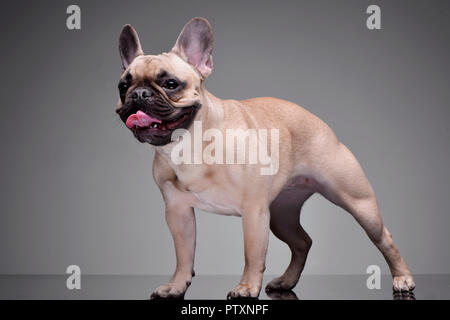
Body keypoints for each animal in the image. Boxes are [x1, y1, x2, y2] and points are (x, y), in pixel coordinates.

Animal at [116, 16, 414, 298]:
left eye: (170, 84)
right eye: (123, 86)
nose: (139, 93)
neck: (189, 144)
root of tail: (318, 120)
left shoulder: (254, 211)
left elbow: (252, 254)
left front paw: (246, 287)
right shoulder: (178, 214)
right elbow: (183, 255)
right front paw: (176, 286)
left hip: (357, 202)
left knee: (383, 238)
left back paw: (402, 278)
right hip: (282, 214)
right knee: (302, 242)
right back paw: (286, 281)